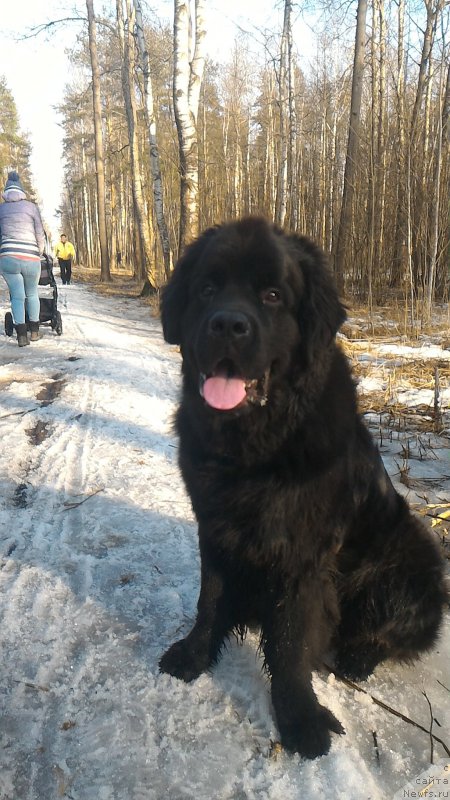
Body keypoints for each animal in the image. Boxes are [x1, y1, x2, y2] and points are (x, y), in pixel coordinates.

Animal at [159, 216, 446, 760]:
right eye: (207, 289)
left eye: (273, 295)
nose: (227, 325)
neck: (253, 449)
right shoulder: (214, 527)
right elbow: (210, 598)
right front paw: (195, 652)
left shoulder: (302, 555)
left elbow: (291, 640)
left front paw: (300, 718)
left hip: (415, 557)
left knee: (392, 633)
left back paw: (358, 656)